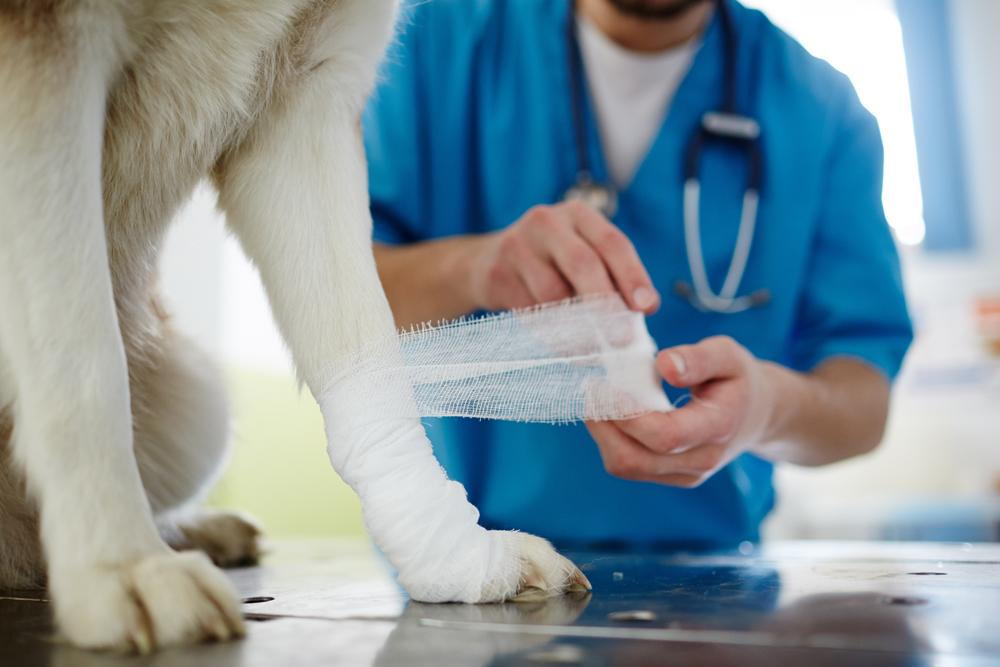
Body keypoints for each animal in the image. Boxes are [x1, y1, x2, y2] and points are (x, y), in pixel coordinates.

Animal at [0, 0, 588, 656]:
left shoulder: (311, 94)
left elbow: (365, 361)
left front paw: (471, 559)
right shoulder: (44, 58)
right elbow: (83, 360)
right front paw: (123, 564)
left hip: (197, 399)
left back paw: (197, 531)